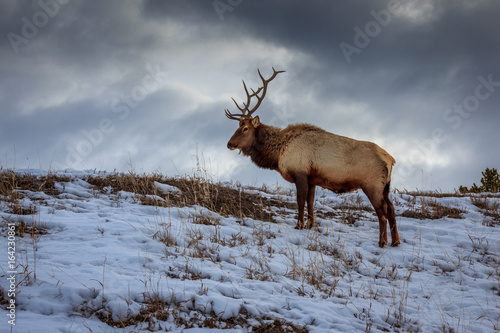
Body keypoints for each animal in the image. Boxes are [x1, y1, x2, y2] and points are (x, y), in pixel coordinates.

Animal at [227, 68, 402, 246]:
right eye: (238, 126)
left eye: (245, 129)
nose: (229, 143)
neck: (278, 154)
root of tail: (391, 160)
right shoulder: (312, 178)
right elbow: (310, 202)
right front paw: (310, 225)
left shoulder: (300, 173)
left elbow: (300, 200)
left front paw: (299, 225)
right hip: (385, 186)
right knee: (391, 208)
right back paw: (395, 241)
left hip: (372, 184)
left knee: (382, 210)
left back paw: (382, 242)